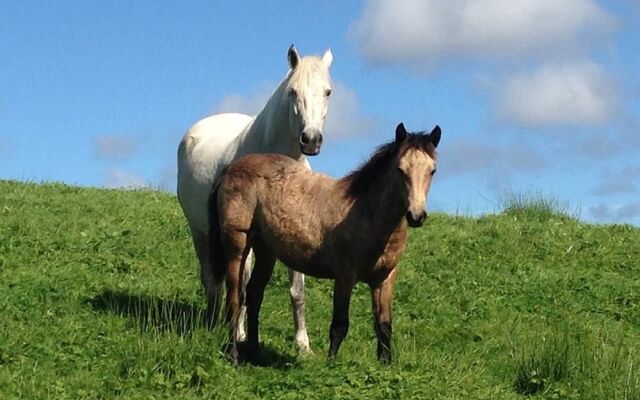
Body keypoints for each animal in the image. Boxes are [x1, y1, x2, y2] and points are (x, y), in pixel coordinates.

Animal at [176, 45, 332, 352]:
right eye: (292, 91)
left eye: (328, 91)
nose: (311, 140)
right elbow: (241, 284)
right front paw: (239, 335)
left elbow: (297, 290)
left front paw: (303, 344)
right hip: (200, 232)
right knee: (212, 279)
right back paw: (214, 322)